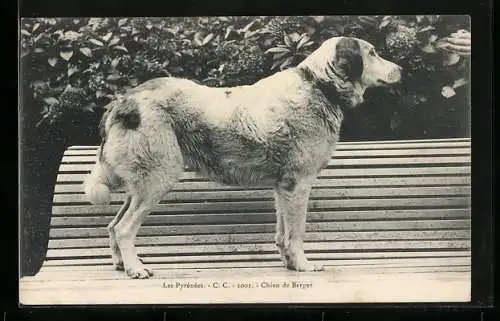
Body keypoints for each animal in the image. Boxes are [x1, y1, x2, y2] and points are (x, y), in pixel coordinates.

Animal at [83, 37, 402, 278]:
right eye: (372, 53)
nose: (401, 69)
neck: (319, 85)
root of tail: (124, 101)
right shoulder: (299, 184)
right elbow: (297, 232)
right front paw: (303, 265)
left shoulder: (283, 187)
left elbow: (282, 232)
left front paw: (289, 264)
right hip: (158, 179)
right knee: (124, 228)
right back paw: (136, 269)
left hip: (141, 184)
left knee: (113, 225)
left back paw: (121, 265)